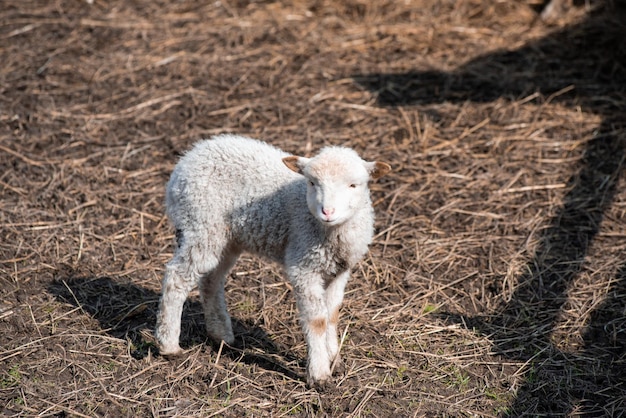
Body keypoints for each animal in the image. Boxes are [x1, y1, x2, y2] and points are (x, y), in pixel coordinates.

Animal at [155, 134, 390, 386]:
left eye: (353, 185)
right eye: (312, 183)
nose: (327, 212)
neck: (330, 232)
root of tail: (187, 158)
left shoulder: (340, 270)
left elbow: (333, 314)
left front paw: (334, 359)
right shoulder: (303, 263)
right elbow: (317, 319)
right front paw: (319, 374)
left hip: (226, 238)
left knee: (210, 280)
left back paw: (221, 335)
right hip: (200, 223)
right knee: (177, 278)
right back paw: (168, 345)